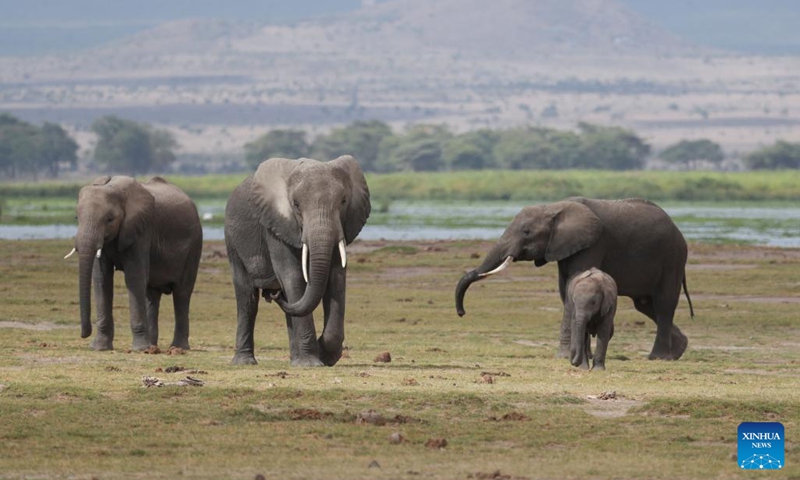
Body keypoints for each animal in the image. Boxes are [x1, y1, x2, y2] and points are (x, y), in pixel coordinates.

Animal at [66, 175, 202, 351]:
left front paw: (139, 349)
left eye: (109, 219)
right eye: (77, 218)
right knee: (152, 294)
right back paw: (152, 347)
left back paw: (177, 348)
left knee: (182, 293)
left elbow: (134, 277)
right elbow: (102, 280)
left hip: (194, 245)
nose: (84, 334)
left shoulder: (141, 230)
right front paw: (99, 348)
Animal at [224, 155, 370, 367]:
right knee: (247, 299)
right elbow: (293, 276)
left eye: (343, 201)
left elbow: (336, 278)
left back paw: (294, 359)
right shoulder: (275, 226)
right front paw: (310, 363)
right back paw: (245, 362)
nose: (273, 294)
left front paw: (324, 356)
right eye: (296, 204)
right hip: (233, 243)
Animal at [455, 197, 694, 361]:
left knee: (663, 304)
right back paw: (679, 350)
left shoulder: (594, 242)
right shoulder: (564, 247)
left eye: (526, 232)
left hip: (672, 257)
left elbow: (573, 283)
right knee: (645, 305)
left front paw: (564, 356)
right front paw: (581, 355)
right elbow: (565, 290)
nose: (461, 313)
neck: (554, 207)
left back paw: (658, 358)